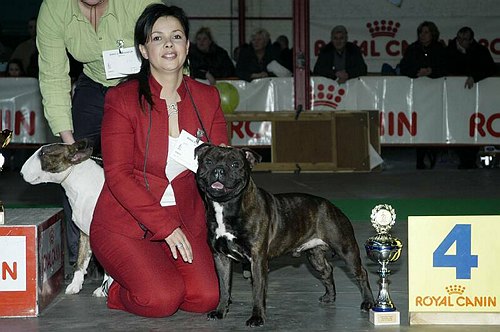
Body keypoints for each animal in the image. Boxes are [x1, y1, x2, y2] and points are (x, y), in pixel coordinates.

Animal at [195, 145, 376, 326]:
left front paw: (257, 317)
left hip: (346, 250)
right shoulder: (221, 258)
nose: (218, 170)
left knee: (361, 273)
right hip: (315, 256)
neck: (225, 206)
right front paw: (220, 311)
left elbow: (257, 292)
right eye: (208, 161)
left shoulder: (257, 260)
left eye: (235, 164)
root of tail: (331, 206)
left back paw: (368, 303)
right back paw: (329, 297)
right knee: (327, 270)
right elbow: (224, 288)